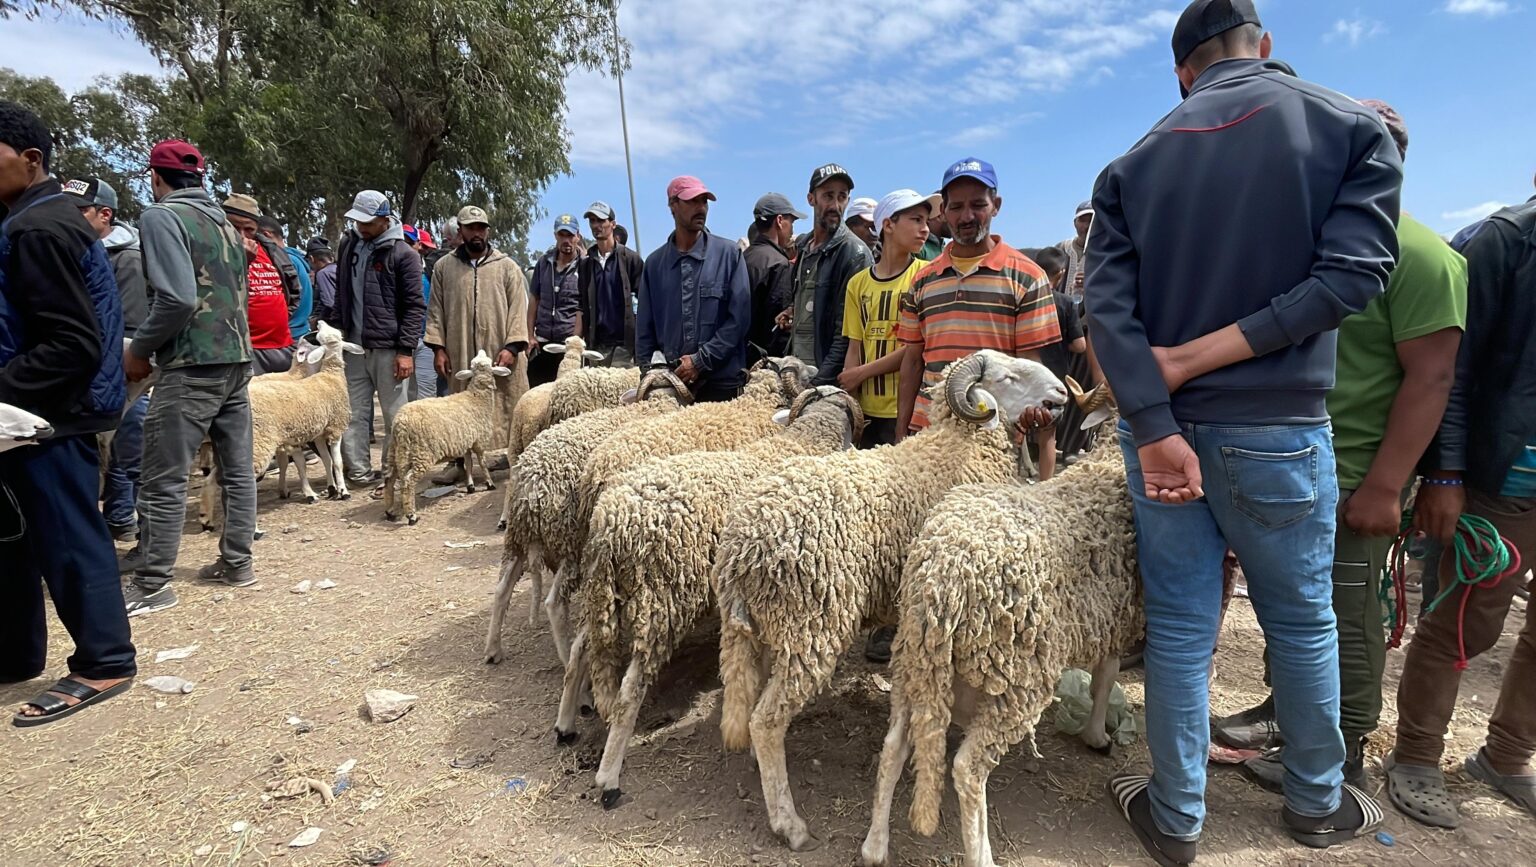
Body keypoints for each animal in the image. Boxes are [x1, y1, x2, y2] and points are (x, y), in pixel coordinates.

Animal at [565, 385, 866, 805]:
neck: (804, 440)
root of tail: (613, 523)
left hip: (603, 597)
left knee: (580, 649)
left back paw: (566, 724)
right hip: (661, 602)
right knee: (628, 691)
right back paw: (609, 778)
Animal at [709, 352, 1062, 854]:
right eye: (1008, 376)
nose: (1061, 394)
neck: (961, 445)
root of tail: (741, 548)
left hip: (754, 628)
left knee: (748, 699)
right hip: (810, 627)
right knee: (765, 720)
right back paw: (790, 825)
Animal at [866, 439, 1142, 867]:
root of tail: (944, 575)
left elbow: (1105, 676)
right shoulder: (1117, 618)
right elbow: (1107, 677)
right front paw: (1097, 735)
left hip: (914, 660)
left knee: (894, 746)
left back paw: (875, 846)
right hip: (1014, 679)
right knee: (967, 769)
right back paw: (981, 856)